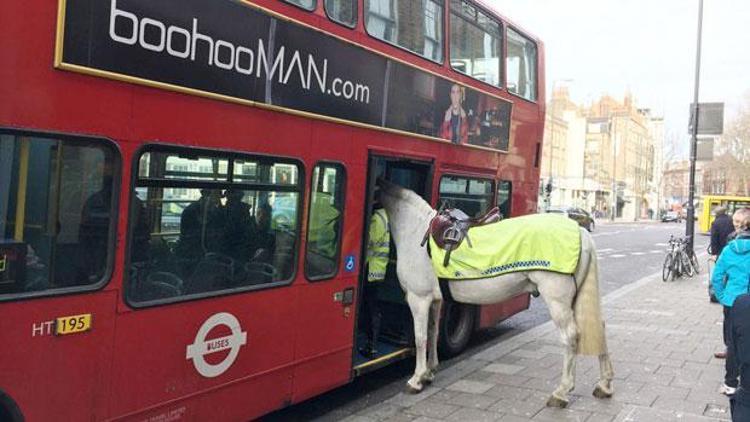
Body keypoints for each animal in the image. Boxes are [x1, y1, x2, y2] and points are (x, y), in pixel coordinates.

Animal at [378, 181, 612, 408]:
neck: (416, 230)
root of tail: (581, 232)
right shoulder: (435, 300)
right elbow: (433, 332)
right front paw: (429, 372)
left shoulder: (418, 299)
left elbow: (420, 338)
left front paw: (416, 379)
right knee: (598, 327)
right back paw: (604, 385)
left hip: (557, 301)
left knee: (570, 336)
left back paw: (561, 392)